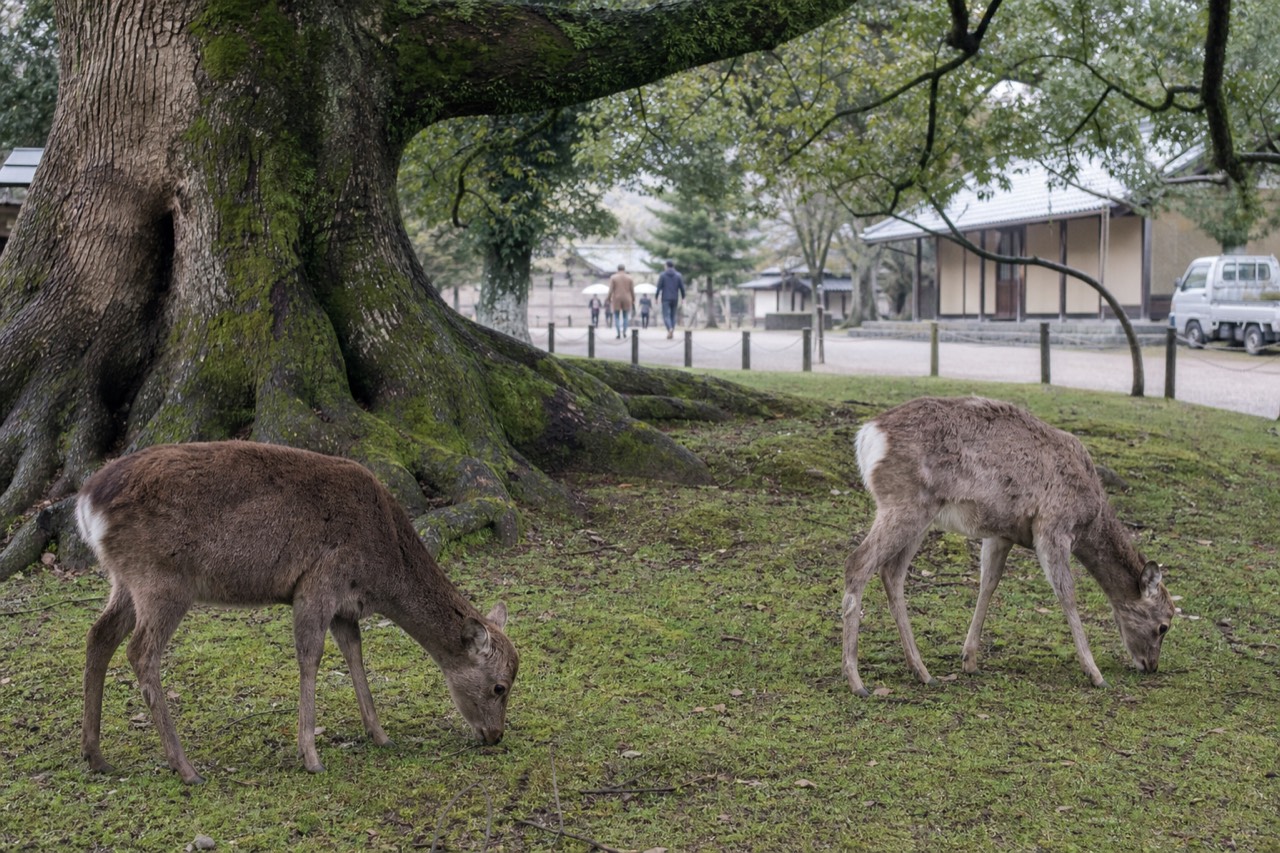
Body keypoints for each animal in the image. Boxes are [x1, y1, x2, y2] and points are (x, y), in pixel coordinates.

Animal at [76, 440, 518, 784]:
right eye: (500, 686)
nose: (495, 735)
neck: (382, 566)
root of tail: (86, 502)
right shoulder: (318, 583)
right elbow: (311, 658)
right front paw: (311, 757)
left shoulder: (345, 606)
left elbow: (355, 656)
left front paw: (380, 734)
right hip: (162, 580)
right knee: (140, 651)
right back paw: (186, 768)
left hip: (124, 579)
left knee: (98, 635)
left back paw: (95, 755)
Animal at [842, 396, 1173, 697]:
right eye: (1164, 625)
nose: (1151, 665)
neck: (1089, 519)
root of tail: (867, 435)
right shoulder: (1052, 527)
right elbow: (1066, 594)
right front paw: (1095, 674)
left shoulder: (1001, 533)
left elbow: (989, 582)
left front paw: (970, 660)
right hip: (904, 502)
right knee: (858, 562)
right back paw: (857, 681)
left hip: (922, 515)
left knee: (891, 572)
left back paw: (922, 672)